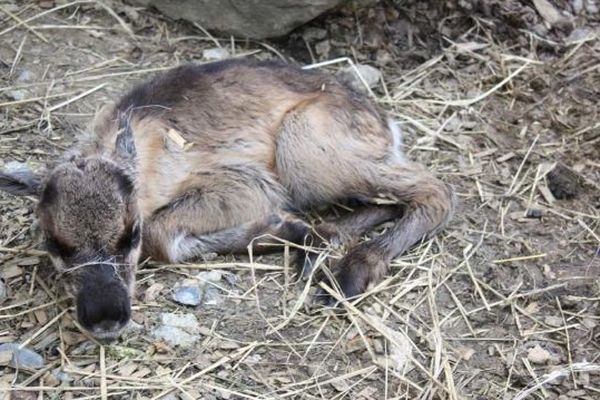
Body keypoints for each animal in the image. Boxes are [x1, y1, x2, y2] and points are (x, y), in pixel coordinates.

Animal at [0, 59, 450, 340]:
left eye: (130, 235)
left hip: (305, 148)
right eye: (54, 243)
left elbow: (162, 235)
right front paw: (286, 230)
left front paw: (281, 227)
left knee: (436, 191)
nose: (106, 318)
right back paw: (321, 243)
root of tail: (386, 122)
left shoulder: (252, 183)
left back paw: (352, 269)